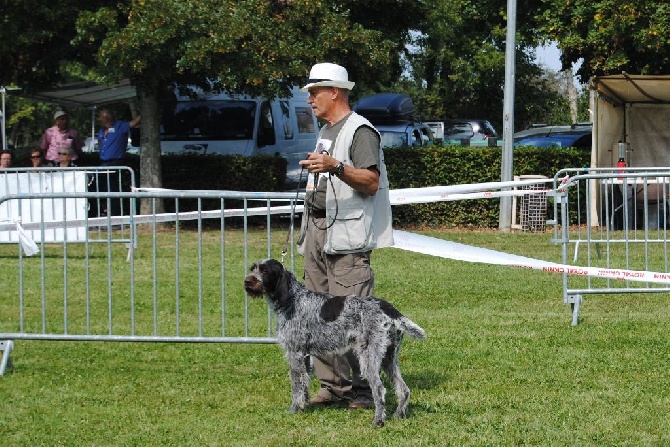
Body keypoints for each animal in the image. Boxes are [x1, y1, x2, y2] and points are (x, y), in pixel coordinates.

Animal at [244, 260, 428, 428]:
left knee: (379, 389)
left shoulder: (294, 353)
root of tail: (388, 308)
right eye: (253, 268)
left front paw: (294, 409)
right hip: (388, 358)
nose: (247, 281)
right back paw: (399, 415)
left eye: (265, 271)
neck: (293, 299)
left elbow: (296, 384)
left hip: (369, 357)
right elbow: (304, 383)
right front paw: (304, 406)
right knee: (403, 389)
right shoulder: (304, 354)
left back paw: (378, 421)